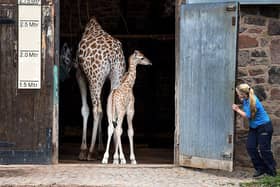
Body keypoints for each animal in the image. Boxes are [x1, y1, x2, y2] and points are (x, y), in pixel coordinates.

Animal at [76, 17, 125, 159]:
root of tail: (113, 55)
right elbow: (105, 111)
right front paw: (101, 148)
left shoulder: (80, 74)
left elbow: (85, 109)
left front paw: (84, 148)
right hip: (116, 76)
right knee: (113, 109)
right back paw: (114, 152)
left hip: (95, 78)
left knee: (96, 110)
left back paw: (90, 151)